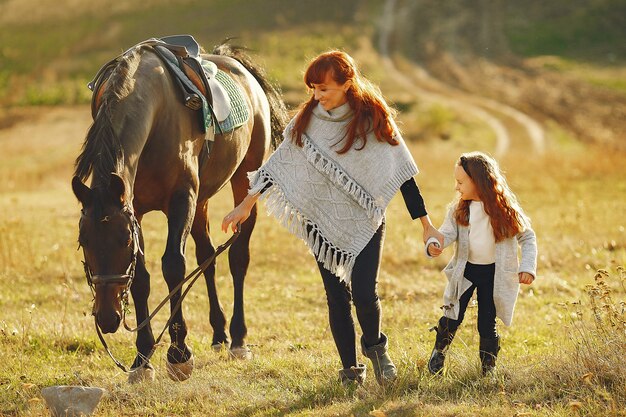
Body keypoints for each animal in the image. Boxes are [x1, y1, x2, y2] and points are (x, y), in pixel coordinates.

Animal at [72, 41, 286, 380]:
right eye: (84, 242)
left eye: (123, 242)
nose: (107, 317)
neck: (155, 109)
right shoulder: (136, 209)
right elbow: (142, 277)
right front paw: (142, 357)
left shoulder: (181, 199)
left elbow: (173, 266)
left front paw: (178, 353)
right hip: (201, 203)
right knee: (207, 257)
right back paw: (219, 333)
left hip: (243, 184)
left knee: (238, 257)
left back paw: (239, 338)